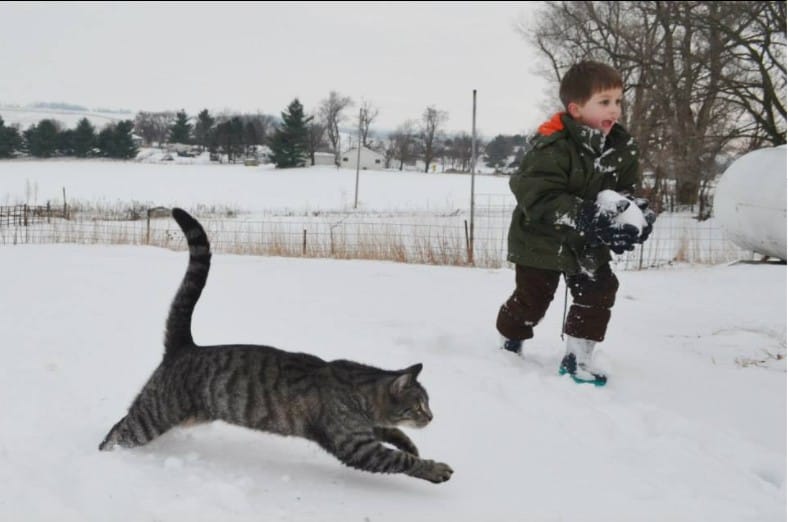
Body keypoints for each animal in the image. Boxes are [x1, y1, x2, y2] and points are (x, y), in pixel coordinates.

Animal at [98, 205, 452, 482]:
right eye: (420, 406)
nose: (432, 418)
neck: (360, 391)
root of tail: (186, 345)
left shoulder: (364, 430)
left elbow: (392, 432)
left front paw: (407, 441)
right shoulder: (355, 444)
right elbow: (399, 460)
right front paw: (433, 468)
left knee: (121, 421)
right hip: (154, 415)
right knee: (118, 434)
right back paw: (106, 460)